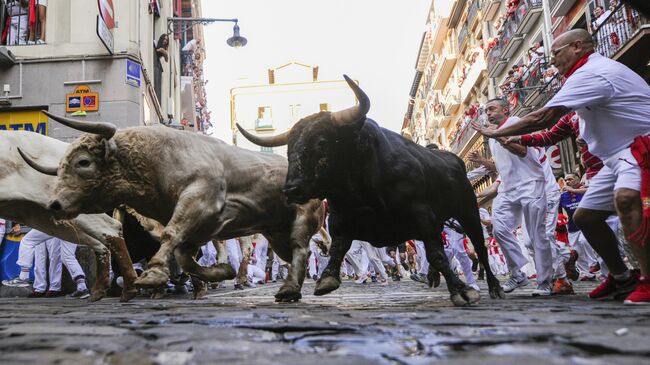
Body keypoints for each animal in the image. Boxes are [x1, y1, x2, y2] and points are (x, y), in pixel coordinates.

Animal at [21, 114, 324, 302]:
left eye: (83, 162)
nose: (54, 204)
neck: (156, 159)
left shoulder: (198, 201)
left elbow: (172, 237)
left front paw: (152, 275)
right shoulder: (202, 227)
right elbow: (184, 255)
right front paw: (220, 272)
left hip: (301, 220)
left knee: (301, 248)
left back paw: (290, 289)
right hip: (276, 234)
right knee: (298, 254)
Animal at [238, 74, 506, 304]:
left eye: (322, 143)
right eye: (289, 148)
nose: (291, 189)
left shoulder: (423, 216)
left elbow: (438, 255)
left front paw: (462, 291)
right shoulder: (341, 218)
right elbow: (338, 248)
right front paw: (327, 278)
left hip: (468, 212)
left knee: (479, 248)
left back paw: (494, 287)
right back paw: (430, 277)